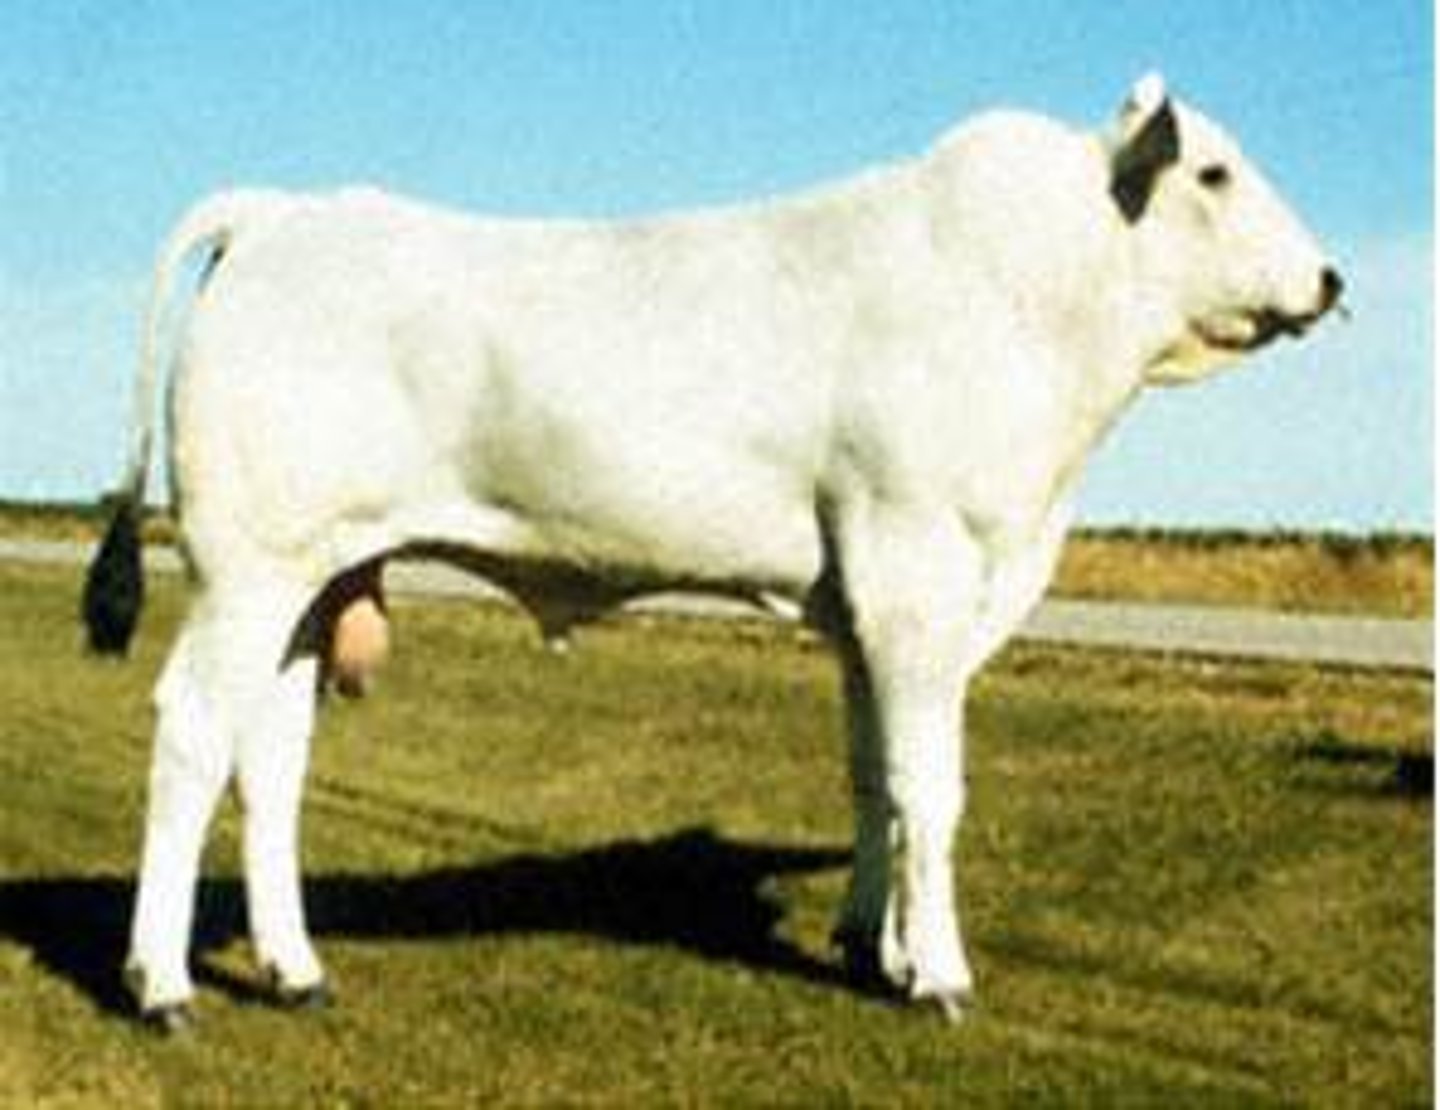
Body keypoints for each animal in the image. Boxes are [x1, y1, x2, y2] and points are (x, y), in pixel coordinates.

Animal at [84, 74, 1342, 1032]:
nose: (1332, 277)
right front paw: (938, 974)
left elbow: (872, 776)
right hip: (247, 568)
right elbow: (931, 787)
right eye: (1214, 173)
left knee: (270, 756)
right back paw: (160, 985)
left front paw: (869, 946)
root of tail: (282, 212)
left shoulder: (865, 607)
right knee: (192, 734)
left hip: (313, 575)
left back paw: (294, 969)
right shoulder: (919, 577)